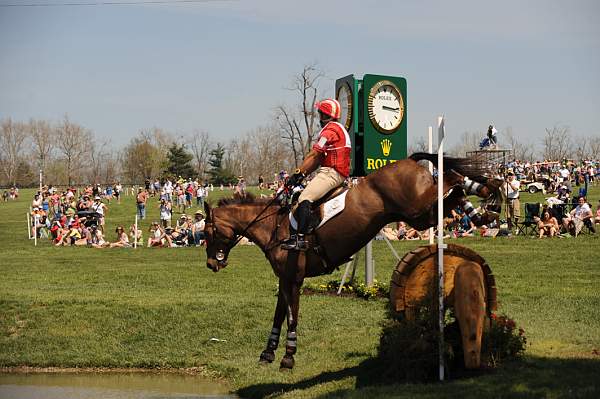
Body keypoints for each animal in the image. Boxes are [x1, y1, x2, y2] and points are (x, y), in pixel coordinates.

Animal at [205, 152, 492, 370]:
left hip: (416, 208)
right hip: (420, 215)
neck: (272, 225)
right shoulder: (284, 279)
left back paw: (484, 192)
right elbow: (279, 314)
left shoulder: (294, 279)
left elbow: (291, 315)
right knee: (452, 192)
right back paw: (481, 210)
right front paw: (268, 352)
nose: (211, 264)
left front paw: (288, 356)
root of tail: (408, 160)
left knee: (451, 179)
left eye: (208, 232)